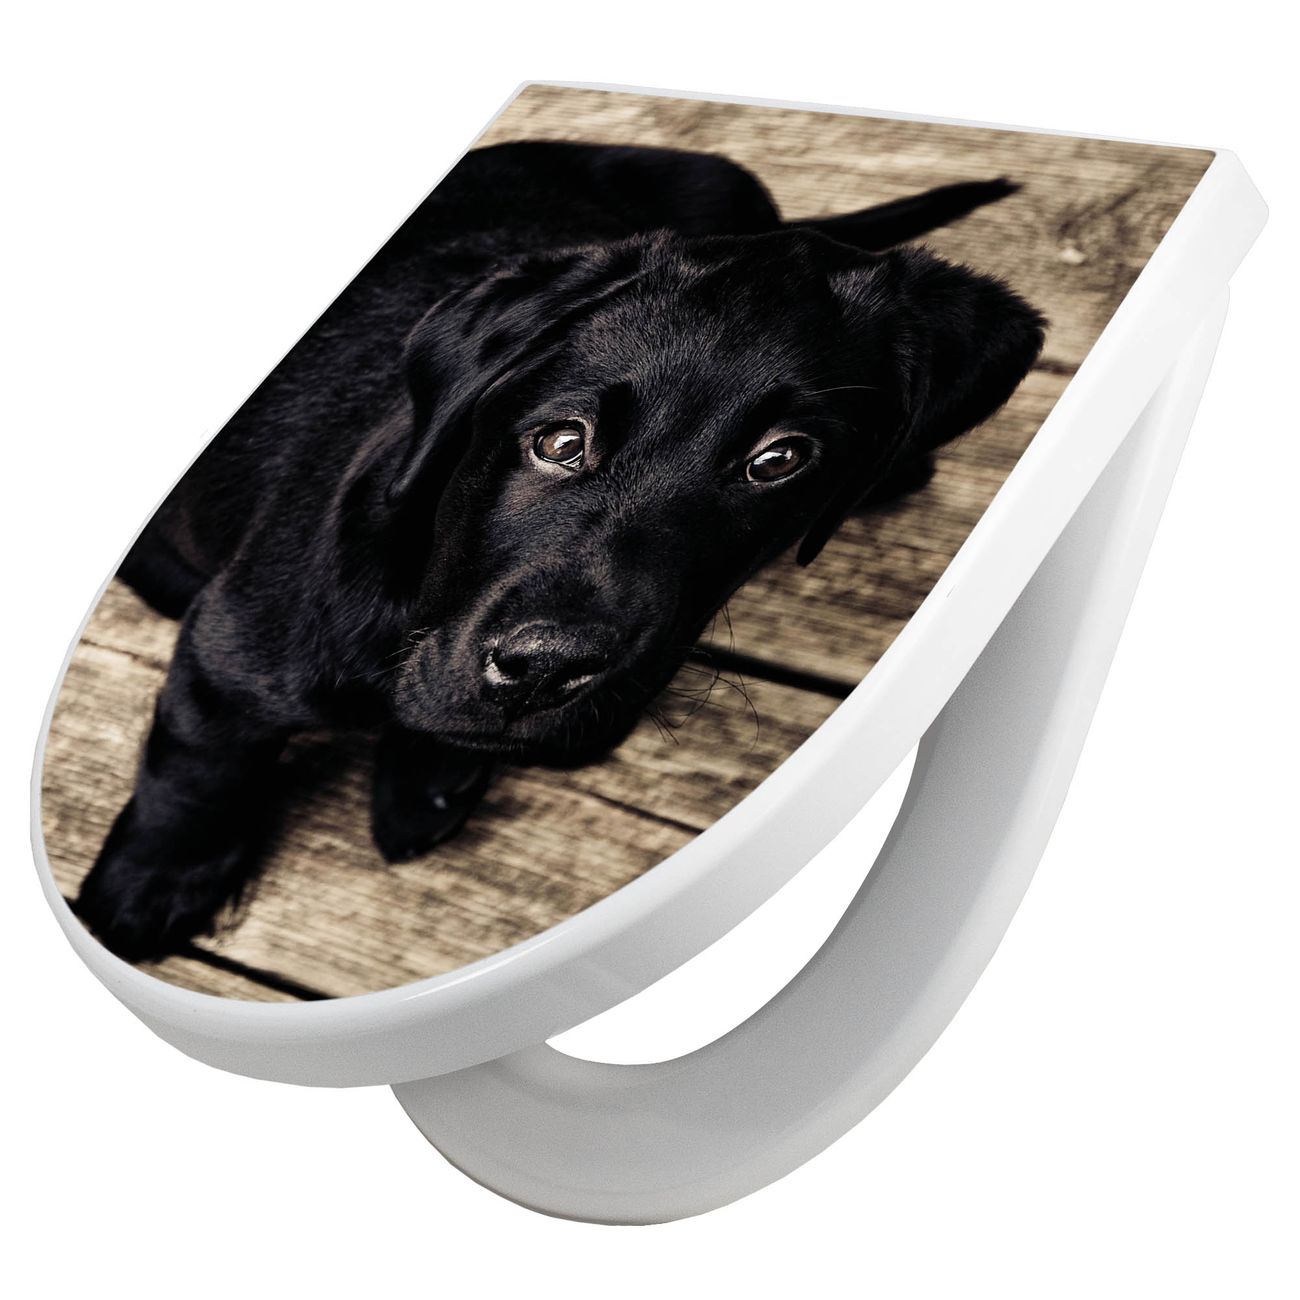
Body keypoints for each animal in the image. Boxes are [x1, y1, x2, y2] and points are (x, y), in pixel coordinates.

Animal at [73, 140, 1045, 961]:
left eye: (778, 461)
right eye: (559, 442)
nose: (547, 670)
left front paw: (432, 762)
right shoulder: (229, 648)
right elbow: (197, 769)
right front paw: (149, 884)